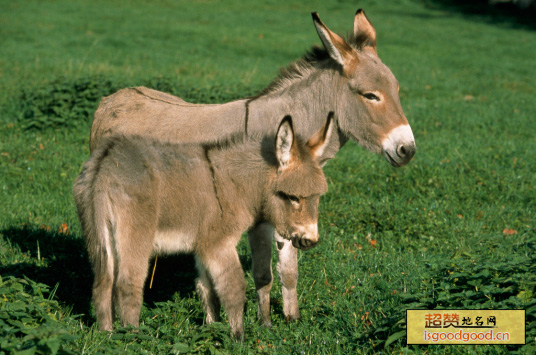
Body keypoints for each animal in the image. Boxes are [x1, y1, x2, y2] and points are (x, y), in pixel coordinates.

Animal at [74, 116, 332, 340]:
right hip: (136, 235)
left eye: (317, 197)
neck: (236, 185)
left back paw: (107, 336)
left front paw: (213, 328)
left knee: (102, 284)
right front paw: (238, 338)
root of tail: (105, 165)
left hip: (98, 235)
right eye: (292, 197)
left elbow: (207, 288)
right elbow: (233, 288)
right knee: (127, 284)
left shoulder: (202, 246)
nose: (310, 241)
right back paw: (135, 339)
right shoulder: (218, 243)